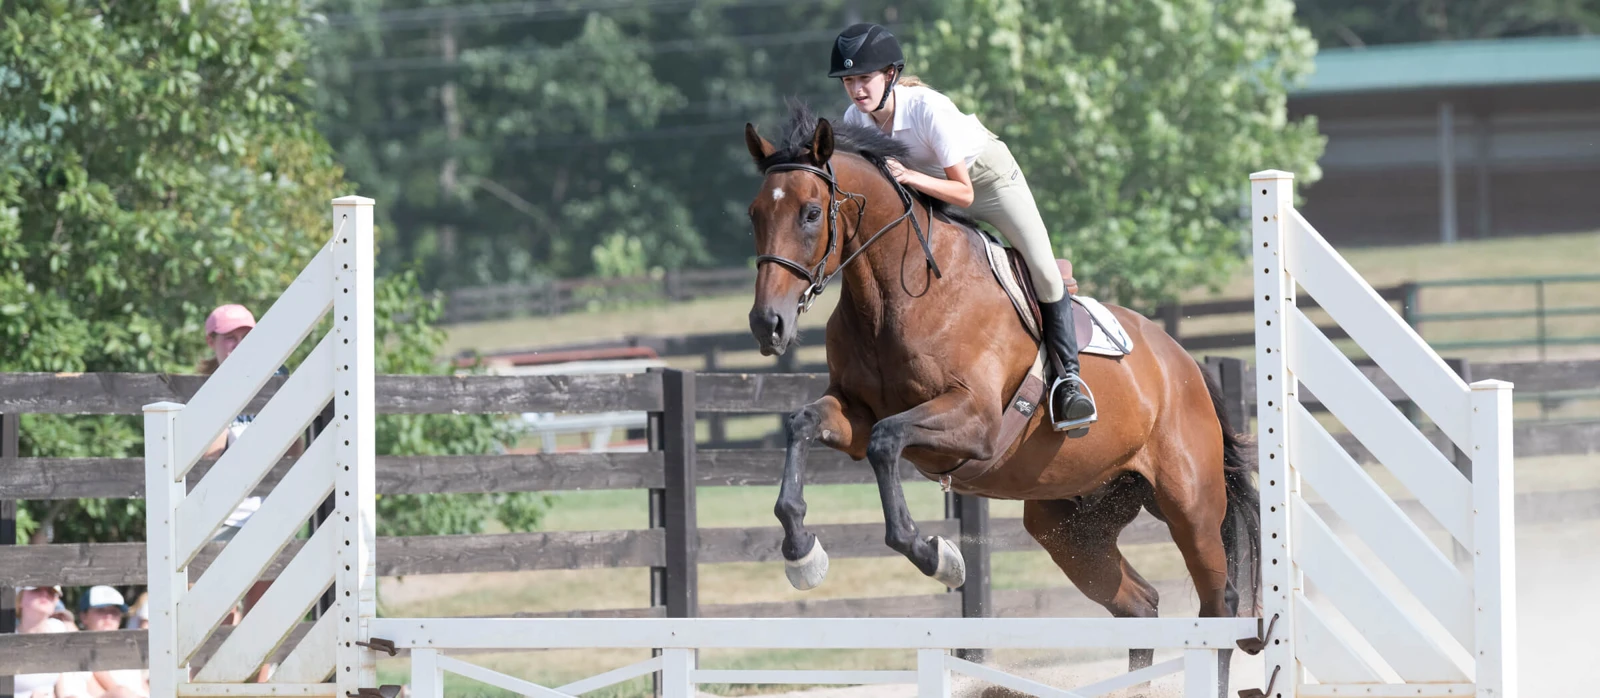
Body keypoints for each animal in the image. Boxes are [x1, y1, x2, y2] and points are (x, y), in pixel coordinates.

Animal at [740, 101, 1260, 695]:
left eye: (809, 213)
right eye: (755, 214)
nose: (767, 325)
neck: (896, 295)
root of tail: (1185, 365)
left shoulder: (975, 423)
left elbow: (886, 442)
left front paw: (937, 556)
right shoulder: (853, 412)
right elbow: (805, 425)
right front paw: (802, 554)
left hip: (1189, 505)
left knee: (1219, 605)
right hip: (1071, 524)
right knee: (1140, 603)